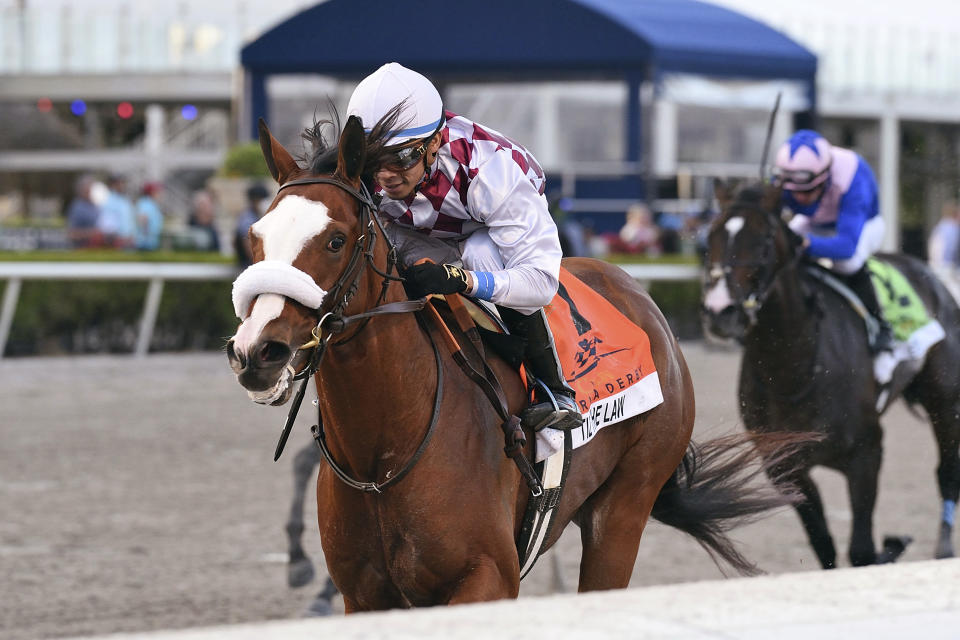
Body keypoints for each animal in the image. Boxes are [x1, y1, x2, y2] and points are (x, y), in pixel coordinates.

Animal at [227, 115, 804, 608]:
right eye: (254, 238)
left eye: (336, 239)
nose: (257, 351)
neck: (384, 454)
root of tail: (640, 297)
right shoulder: (365, 597)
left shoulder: (488, 578)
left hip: (624, 508)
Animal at [696, 178, 960, 568]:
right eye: (711, 236)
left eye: (763, 240)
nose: (719, 311)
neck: (793, 369)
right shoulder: (785, 468)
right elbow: (824, 546)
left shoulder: (866, 453)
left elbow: (861, 550)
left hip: (944, 400)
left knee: (947, 472)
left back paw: (943, 549)